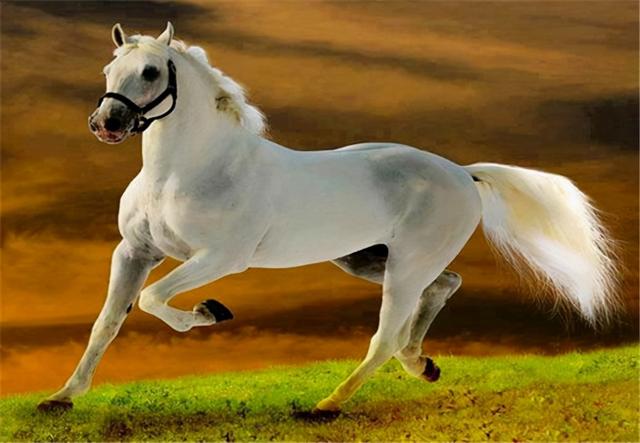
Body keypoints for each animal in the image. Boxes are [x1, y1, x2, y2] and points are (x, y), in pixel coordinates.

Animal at [37, 22, 619, 414]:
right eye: (108, 70)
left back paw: (328, 405)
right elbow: (108, 322)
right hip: (367, 258)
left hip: (407, 262)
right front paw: (62, 397)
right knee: (443, 287)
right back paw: (422, 364)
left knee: (384, 335)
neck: (186, 170)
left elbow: (154, 300)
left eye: (152, 71)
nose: (106, 123)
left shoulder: (221, 257)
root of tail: (460, 172)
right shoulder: (134, 252)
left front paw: (211, 312)